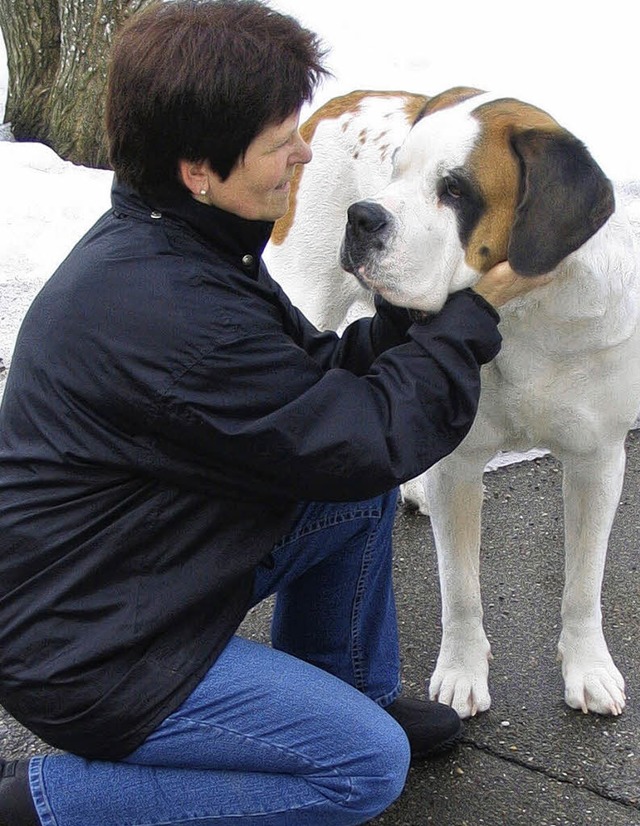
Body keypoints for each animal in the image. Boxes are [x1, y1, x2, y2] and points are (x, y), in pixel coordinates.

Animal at [264, 85, 640, 716]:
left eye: (455, 190)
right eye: (397, 170)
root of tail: (343, 98)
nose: (362, 216)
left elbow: (584, 583)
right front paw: (462, 674)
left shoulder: (598, 460)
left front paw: (588, 668)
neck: (521, 319)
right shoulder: (459, 467)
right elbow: (460, 586)